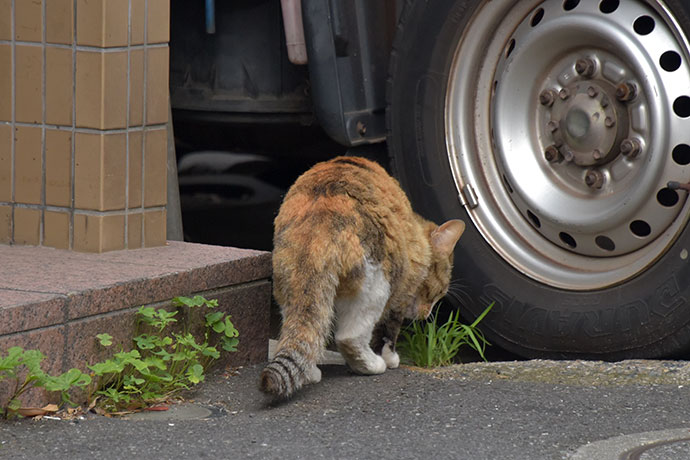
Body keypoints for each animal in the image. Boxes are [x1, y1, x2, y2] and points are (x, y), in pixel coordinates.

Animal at [258, 155, 462, 398]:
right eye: (438, 293)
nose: (427, 314)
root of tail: (320, 219)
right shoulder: (400, 296)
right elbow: (388, 332)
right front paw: (390, 358)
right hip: (377, 285)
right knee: (349, 337)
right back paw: (372, 365)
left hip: (291, 286)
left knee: (307, 331)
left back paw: (311, 372)